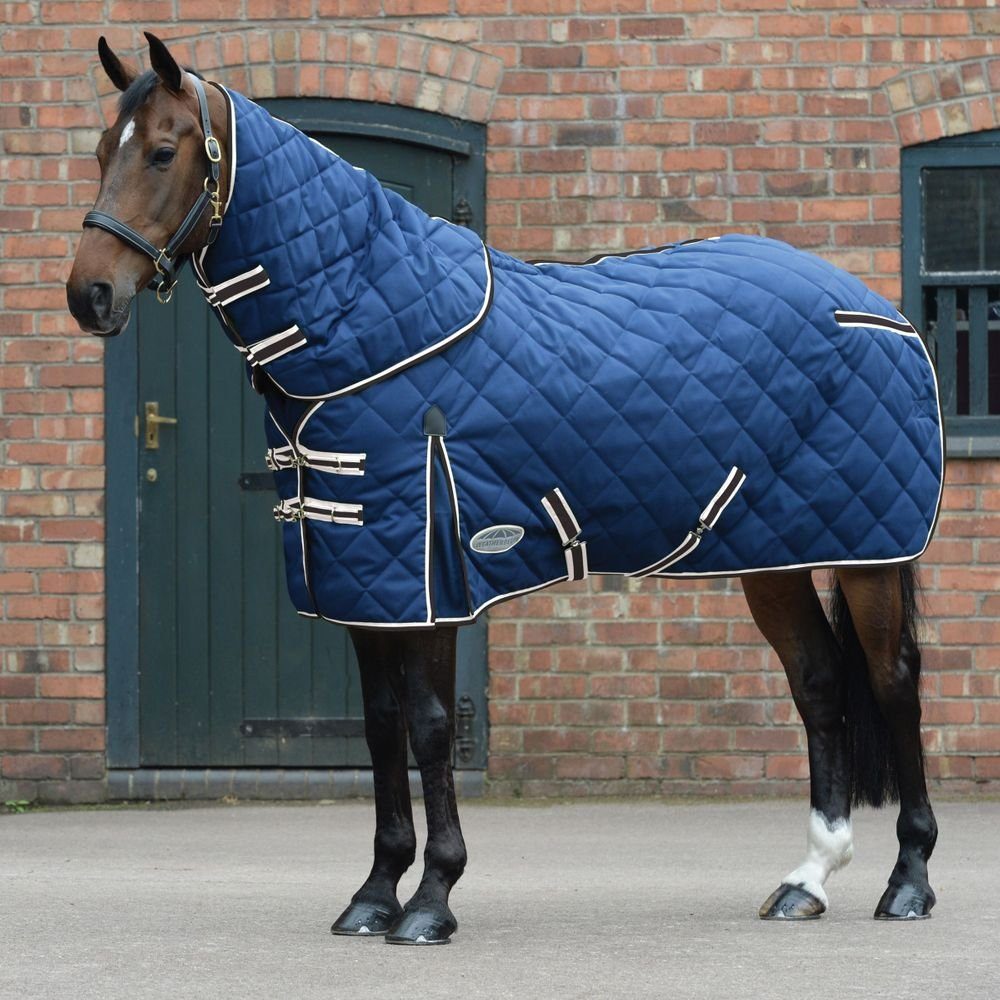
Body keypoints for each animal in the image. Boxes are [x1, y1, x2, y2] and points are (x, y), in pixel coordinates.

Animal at [67, 33, 943, 943]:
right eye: (99, 151)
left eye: (162, 151)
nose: (89, 295)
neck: (381, 333)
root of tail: (875, 308)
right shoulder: (361, 580)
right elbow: (380, 730)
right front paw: (374, 894)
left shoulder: (431, 578)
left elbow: (428, 727)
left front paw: (431, 900)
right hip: (774, 555)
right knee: (818, 682)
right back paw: (808, 878)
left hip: (870, 552)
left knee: (893, 682)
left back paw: (908, 880)